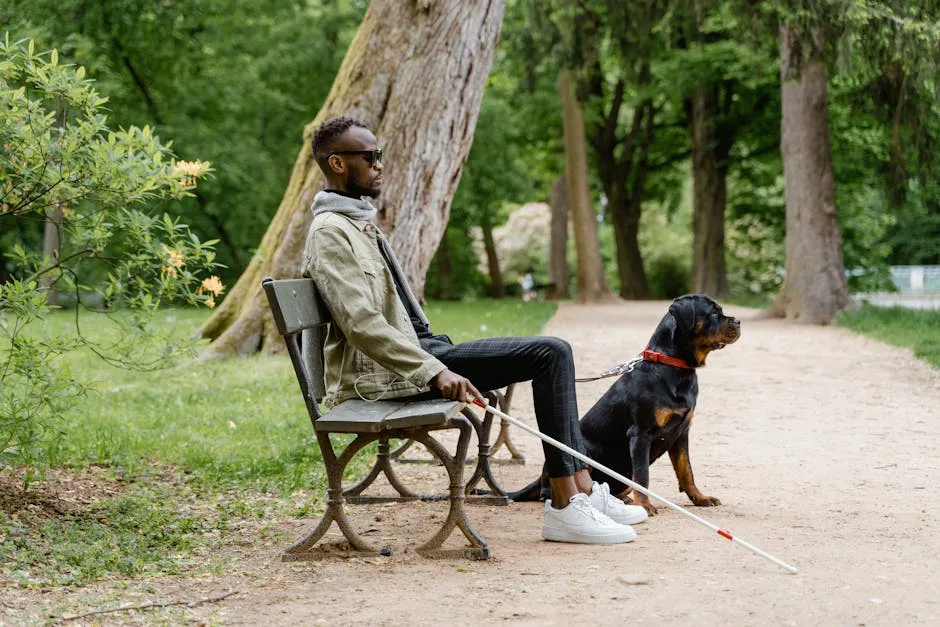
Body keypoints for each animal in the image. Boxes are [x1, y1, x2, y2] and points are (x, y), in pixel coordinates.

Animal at [516, 296, 740, 516]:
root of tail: (540, 478)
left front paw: (700, 498)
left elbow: (687, 471)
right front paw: (645, 505)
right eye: (714, 312)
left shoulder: (681, 433)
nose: (738, 321)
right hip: (582, 452)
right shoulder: (640, 433)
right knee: (554, 491)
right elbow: (642, 476)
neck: (673, 368)